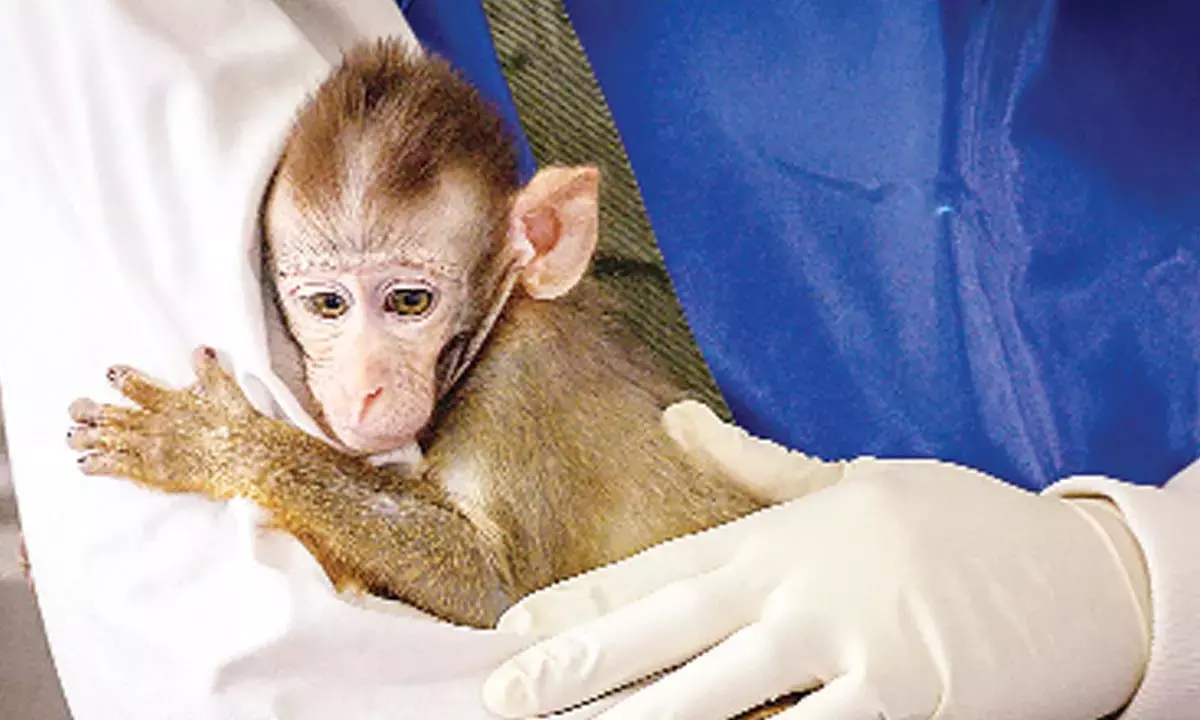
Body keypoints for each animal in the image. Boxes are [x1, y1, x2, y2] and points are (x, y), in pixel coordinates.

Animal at [64, 40, 798, 718]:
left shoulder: (521, 386)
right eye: (327, 304)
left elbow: (496, 588)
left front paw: (223, 444)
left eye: (410, 301)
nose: (362, 385)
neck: (500, 323)